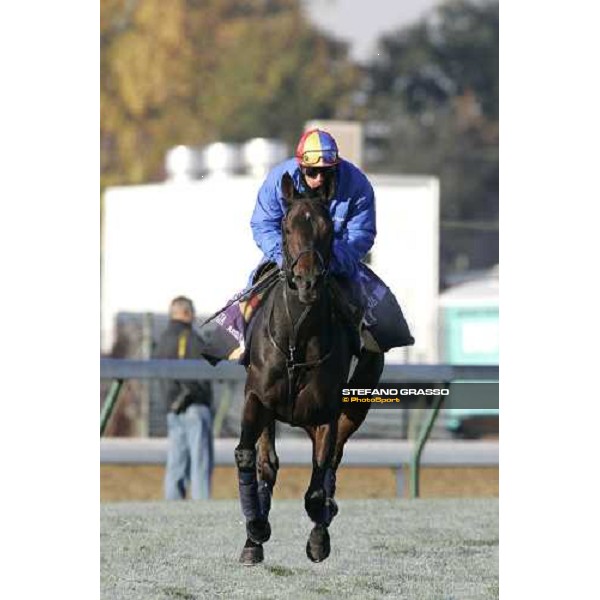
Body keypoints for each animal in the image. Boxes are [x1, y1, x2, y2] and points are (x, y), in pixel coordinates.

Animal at [234, 172, 384, 564]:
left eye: (328, 227)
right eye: (286, 227)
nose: (307, 282)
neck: (297, 338)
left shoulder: (327, 413)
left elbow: (318, 484)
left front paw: (319, 538)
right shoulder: (257, 397)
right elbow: (250, 457)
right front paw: (256, 530)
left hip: (355, 406)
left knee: (332, 463)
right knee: (268, 462)